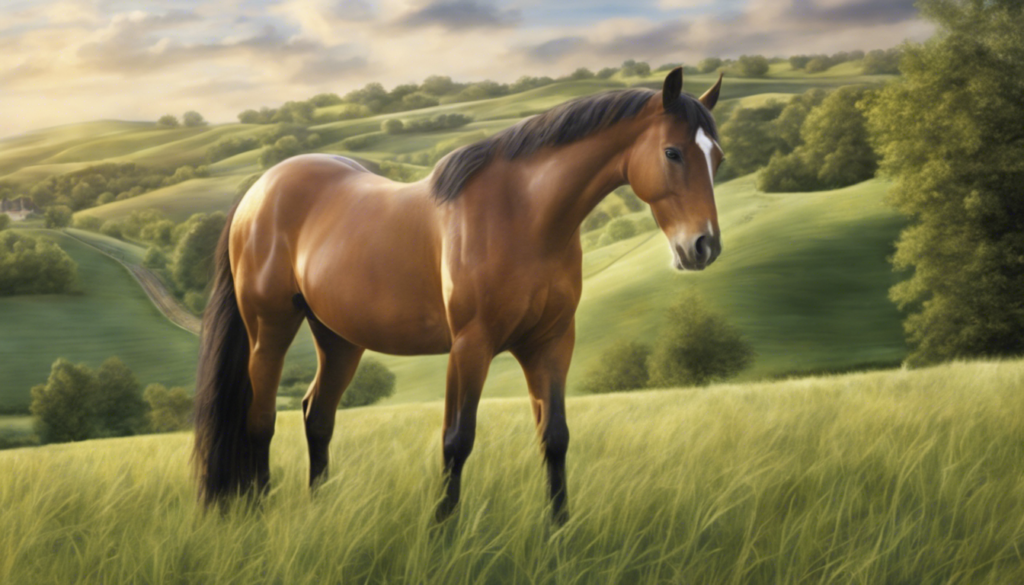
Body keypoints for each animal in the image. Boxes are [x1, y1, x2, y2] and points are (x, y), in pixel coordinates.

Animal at [192, 67, 725, 524]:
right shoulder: (471, 345)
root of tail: (258, 191)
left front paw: (559, 531)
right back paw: (260, 512)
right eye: (673, 153)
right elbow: (457, 440)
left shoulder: (551, 344)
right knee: (261, 419)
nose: (704, 247)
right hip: (270, 329)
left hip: (340, 339)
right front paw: (442, 532)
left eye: (717, 157)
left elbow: (555, 438)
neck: (522, 215)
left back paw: (319, 508)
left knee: (317, 416)